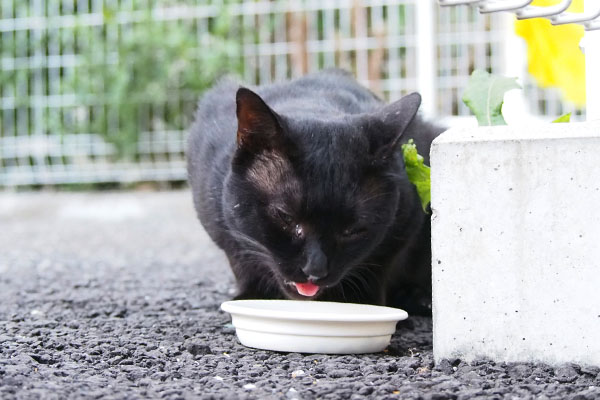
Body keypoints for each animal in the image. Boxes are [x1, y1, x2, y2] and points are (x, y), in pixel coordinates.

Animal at [188, 69, 446, 316]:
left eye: (353, 230)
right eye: (285, 217)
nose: (315, 269)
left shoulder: (404, 223)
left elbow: (377, 268)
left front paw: (358, 304)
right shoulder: (222, 227)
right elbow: (242, 260)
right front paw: (253, 296)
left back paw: (419, 298)